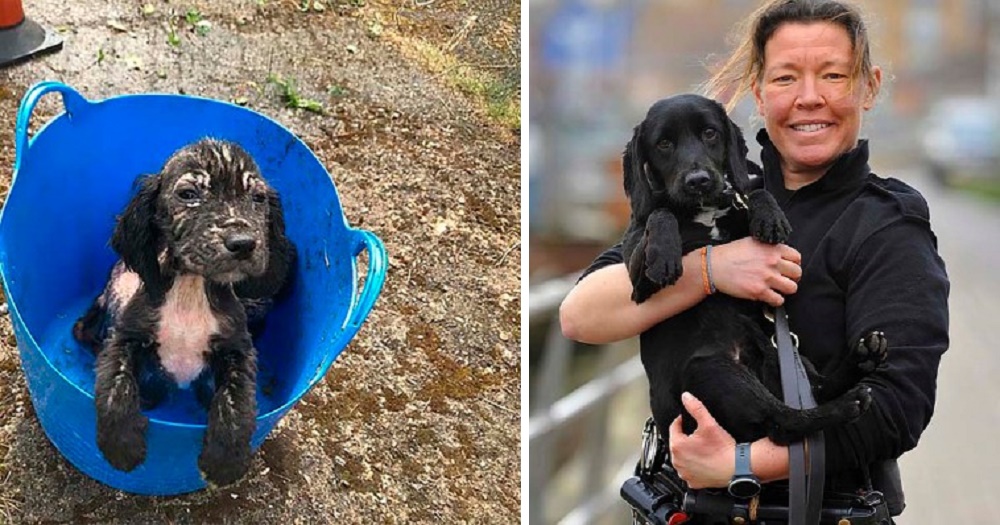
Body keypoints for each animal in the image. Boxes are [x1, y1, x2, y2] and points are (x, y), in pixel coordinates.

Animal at [74, 137, 296, 486]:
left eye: (258, 198)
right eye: (188, 194)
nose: (243, 243)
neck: (191, 288)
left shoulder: (238, 349)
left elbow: (236, 400)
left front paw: (225, 461)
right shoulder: (126, 336)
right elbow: (116, 384)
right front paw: (121, 445)